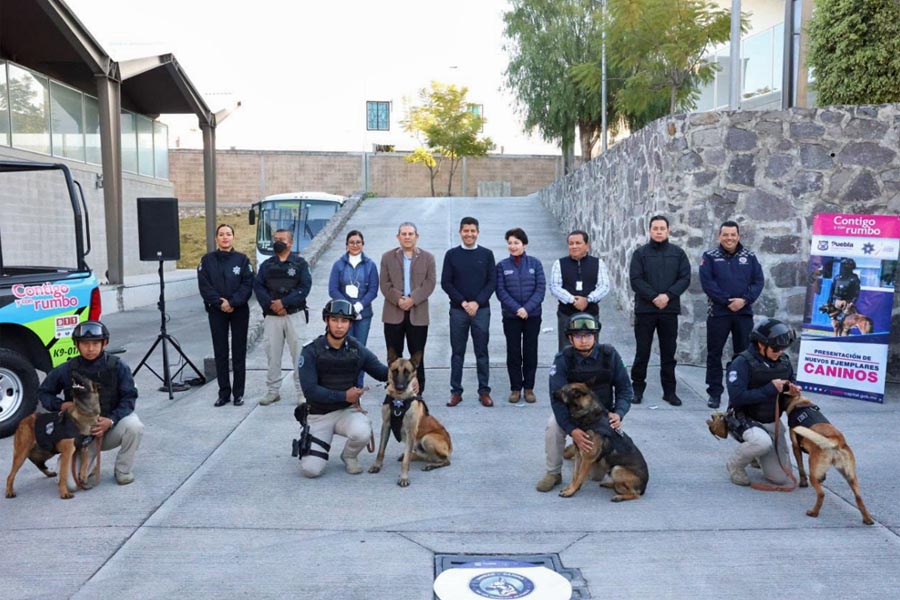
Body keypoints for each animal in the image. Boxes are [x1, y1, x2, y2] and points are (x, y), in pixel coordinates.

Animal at [5, 372, 102, 500]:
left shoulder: (83, 447)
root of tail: (22, 421)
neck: (85, 412)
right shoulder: (67, 452)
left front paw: (83, 476)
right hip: (23, 452)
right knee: (11, 475)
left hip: (47, 451)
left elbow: (85, 463)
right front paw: (64, 493)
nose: (73, 372)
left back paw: (49, 473)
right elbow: (64, 474)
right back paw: (9, 491)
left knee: (38, 463)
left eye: (84, 376)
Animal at [366, 350, 450, 486]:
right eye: (395, 371)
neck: (399, 400)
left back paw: (430, 465)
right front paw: (377, 465)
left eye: (407, 372)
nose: (400, 387)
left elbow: (406, 462)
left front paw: (404, 477)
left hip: (427, 438)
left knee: (445, 460)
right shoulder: (386, 425)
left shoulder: (410, 431)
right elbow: (380, 450)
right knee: (422, 455)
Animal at [784, 390, 876, 524]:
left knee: (821, 494)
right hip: (850, 475)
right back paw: (867, 519)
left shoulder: (795, 447)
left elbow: (800, 467)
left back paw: (814, 512)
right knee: (858, 497)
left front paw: (803, 482)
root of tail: (836, 439)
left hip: (814, 472)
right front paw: (822, 478)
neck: (800, 403)